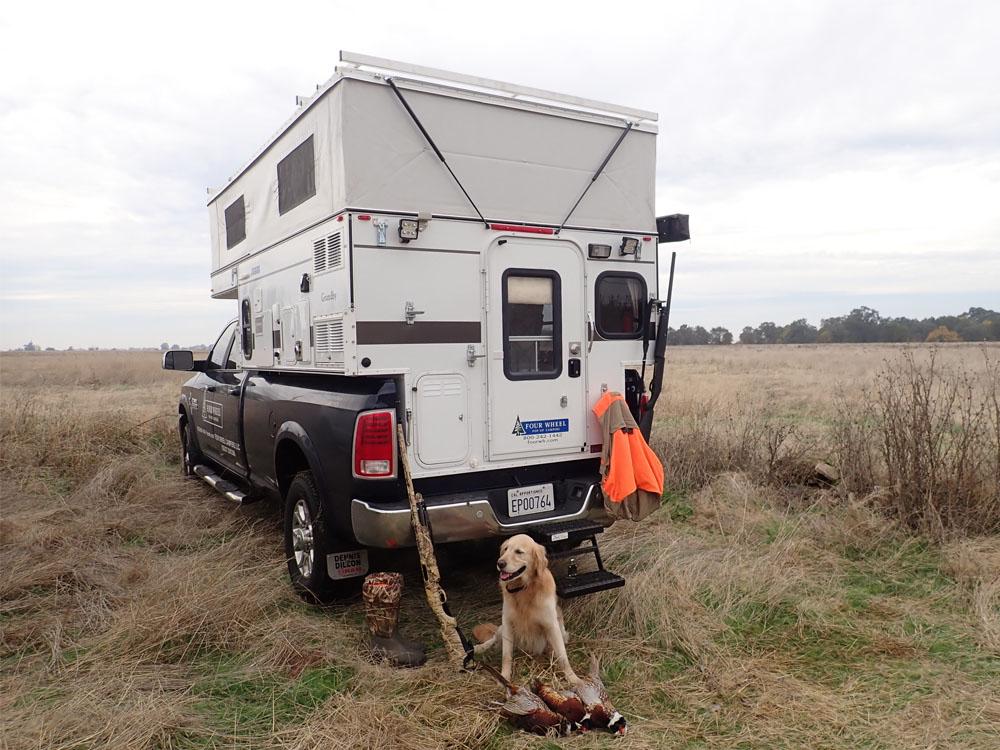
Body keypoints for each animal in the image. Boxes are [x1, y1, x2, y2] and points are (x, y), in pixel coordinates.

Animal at [474, 536, 584, 688]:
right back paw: (479, 648)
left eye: (519, 552)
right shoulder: (508, 623)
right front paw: (503, 677)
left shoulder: (552, 626)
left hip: (561, 633)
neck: (524, 589)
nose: (500, 563)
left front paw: (573, 678)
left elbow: (562, 657)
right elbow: (506, 656)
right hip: (502, 629)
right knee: (494, 638)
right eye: (505, 549)